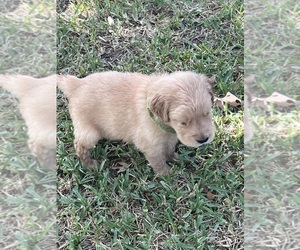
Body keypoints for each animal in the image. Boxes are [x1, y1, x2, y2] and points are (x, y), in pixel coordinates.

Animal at [57, 71, 214, 175]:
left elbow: (169, 149)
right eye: (183, 122)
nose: (203, 140)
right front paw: (165, 174)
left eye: (207, 113)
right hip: (90, 132)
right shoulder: (150, 146)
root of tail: (76, 83)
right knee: (79, 145)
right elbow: (158, 160)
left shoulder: (169, 137)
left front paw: (175, 158)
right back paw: (90, 164)